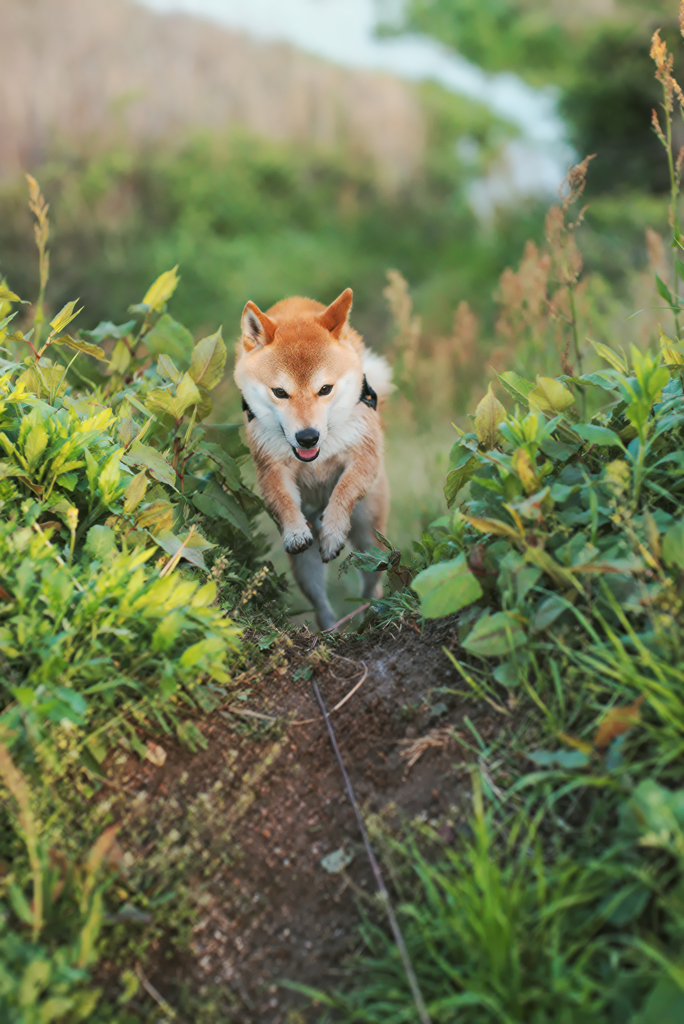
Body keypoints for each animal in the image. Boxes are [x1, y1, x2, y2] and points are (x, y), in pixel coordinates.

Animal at [235, 284, 393, 626]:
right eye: (280, 392)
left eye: (325, 389)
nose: (307, 436)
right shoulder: (270, 468)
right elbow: (282, 499)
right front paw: (296, 531)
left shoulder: (364, 457)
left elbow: (344, 489)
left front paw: (333, 531)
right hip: (306, 569)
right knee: (321, 606)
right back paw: (330, 630)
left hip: (369, 539)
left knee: (372, 585)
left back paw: (370, 615)